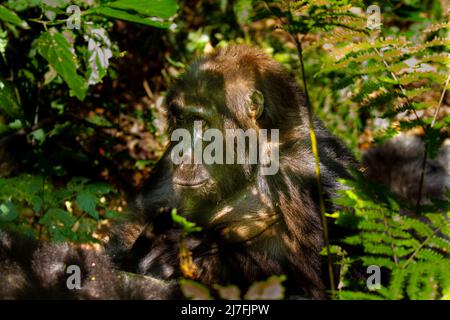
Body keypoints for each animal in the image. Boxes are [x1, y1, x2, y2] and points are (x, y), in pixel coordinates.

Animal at [109, 45, 356, 300]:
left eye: (201, 122)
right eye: (180, 119)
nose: (183, 150)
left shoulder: (306, 167)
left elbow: (314, 282)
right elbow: (135, 221)